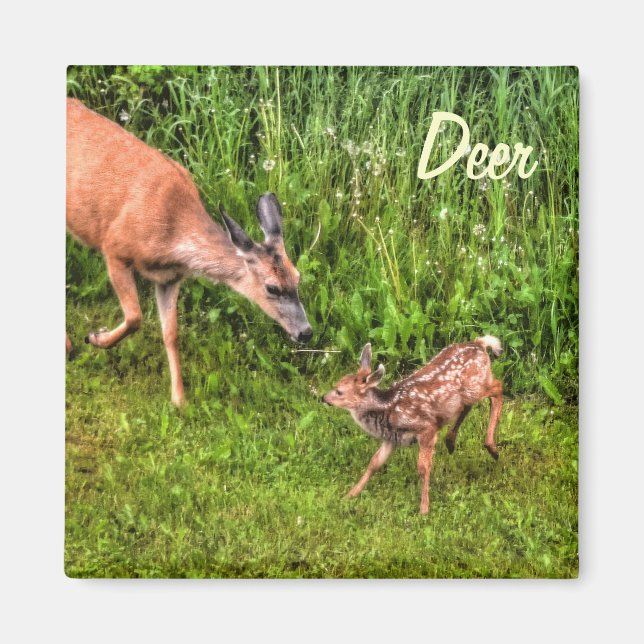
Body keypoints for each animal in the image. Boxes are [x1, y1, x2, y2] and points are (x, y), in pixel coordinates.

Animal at [66, 98, 312, 407]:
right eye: (272, 288)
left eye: (298, 277)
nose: (306, 332)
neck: (172, 234)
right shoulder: (115, 246)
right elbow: (135, 316)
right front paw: (95, 338)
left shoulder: (170, 278)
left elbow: (171, 334)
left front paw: (179, 401)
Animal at [322, 336, 503, 514]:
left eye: (339, 391)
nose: (323, 398)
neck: (388, 410)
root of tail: (479, 342)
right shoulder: (392, 438)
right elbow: (374, 462)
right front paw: (350, 494)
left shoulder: (426, 429)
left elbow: (423, 467)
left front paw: (424, 509)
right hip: (466, 394)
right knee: (468, 406)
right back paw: (451, 441)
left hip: (474, 386)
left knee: (497, 387)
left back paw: (492, 448)